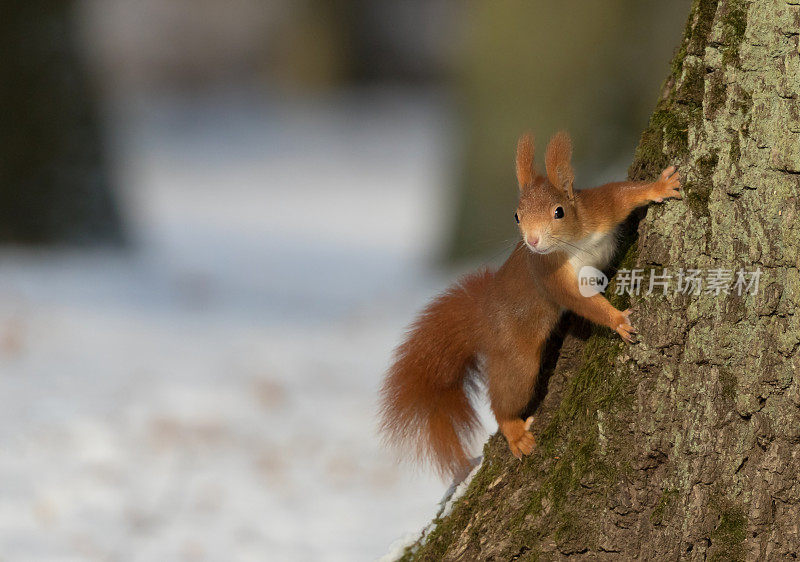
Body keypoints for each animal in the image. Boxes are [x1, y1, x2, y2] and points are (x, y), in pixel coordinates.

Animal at [376, 131, 680, 476]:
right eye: (516, 216)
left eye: (559, 211)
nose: (532, 241)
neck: (573, 242)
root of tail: (481, 316)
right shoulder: (548, 273)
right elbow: (581, 301)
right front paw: (618, 321)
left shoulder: (598, 210)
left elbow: (621, 194)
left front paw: (659, 187)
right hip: (516, 357)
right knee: (506, 397)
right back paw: (514, 431)